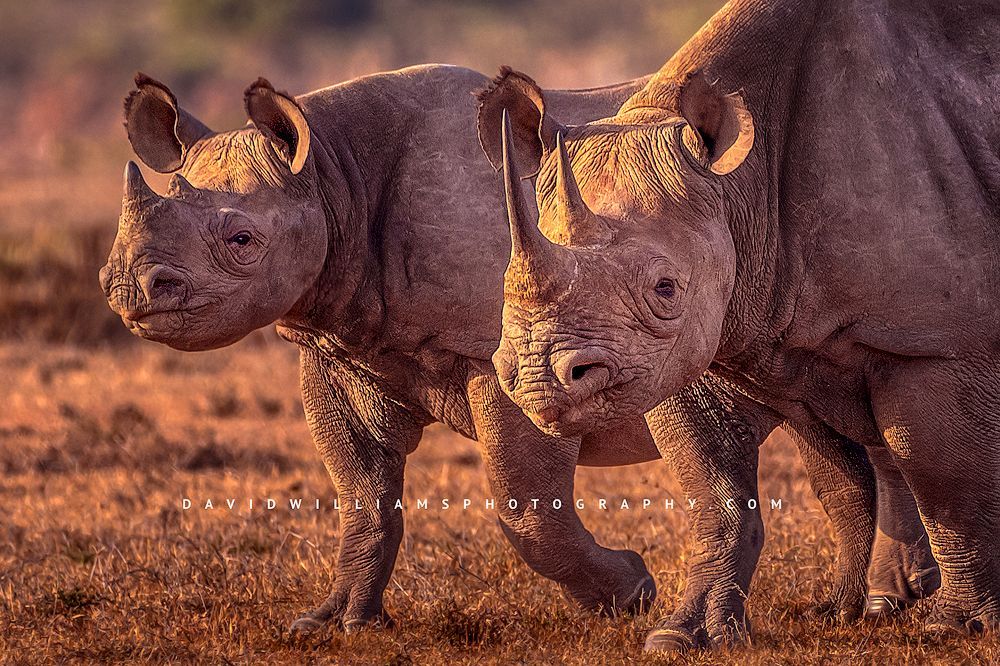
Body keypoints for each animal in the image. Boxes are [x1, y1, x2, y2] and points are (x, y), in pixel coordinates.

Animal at [101, 64, 928, 647]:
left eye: (241, 240)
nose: (130, 290)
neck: (333, 173)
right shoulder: (340, 349)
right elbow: (362, 488)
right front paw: (334, 624)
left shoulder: (503, 356)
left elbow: (520, 499)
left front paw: (630, 594)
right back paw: (870, 604)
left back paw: (886, 602)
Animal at [480, 0, 997, 648]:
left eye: (665, 289)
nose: (535, 381)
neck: (740, 187)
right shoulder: (729, 339)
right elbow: (725, 489)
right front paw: (690, 634)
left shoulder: (933, 342)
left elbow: (946, 479)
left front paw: (957, 628)